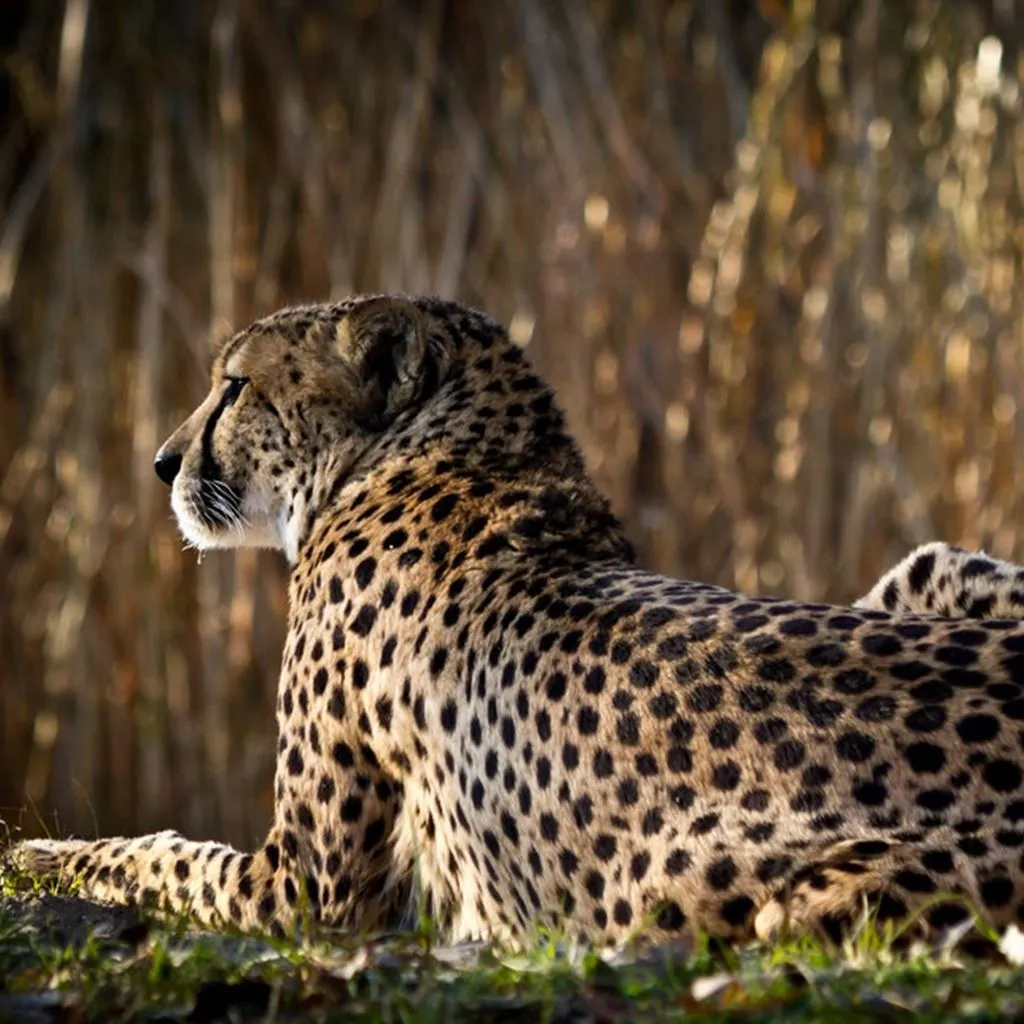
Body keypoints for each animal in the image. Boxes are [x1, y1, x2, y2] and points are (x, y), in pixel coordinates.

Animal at [10, 293, 1024, 950]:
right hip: (932, 566)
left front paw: (42, 852)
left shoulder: (303, 889)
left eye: (235, 386)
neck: (439, 452)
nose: (161, 461)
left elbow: (161, 853)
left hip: (739, 897)